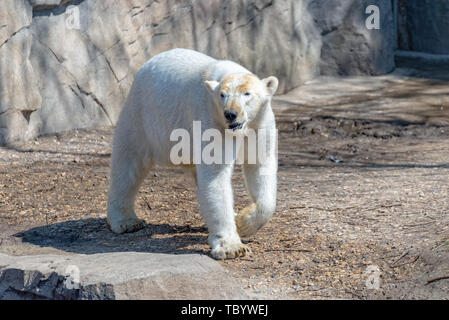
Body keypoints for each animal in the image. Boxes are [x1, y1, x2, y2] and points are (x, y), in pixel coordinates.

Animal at [108, 48, 276, 260]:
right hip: (142, 115)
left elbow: (261, 165)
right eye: (222, 95)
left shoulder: (259, 125)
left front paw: (243, 222)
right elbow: (216, 176)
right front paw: (232, 247)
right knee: (128, 165)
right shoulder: (211, 120)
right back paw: (126, 221)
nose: (231, 114)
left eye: (247, 93)